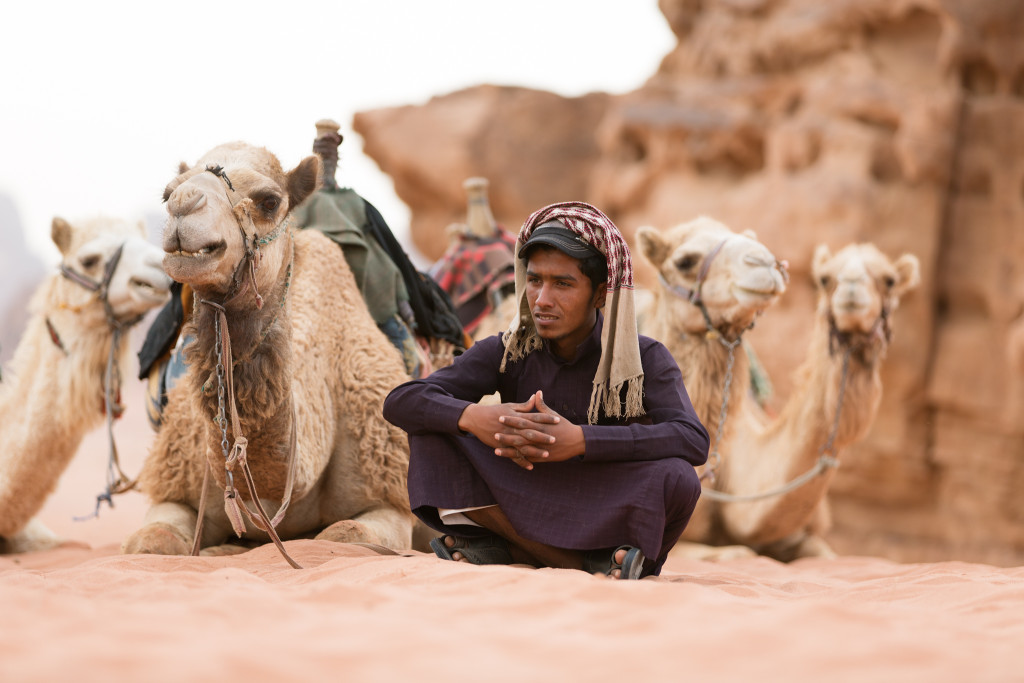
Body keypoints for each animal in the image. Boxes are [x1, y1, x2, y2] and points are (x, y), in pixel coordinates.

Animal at [121, 141, 417, 557]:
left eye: (269, 201)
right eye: (167, 193)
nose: (182, 203)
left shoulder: (388, 493)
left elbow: (346, 534)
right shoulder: (176, 488)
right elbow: (152, 540)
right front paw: (217, 550)